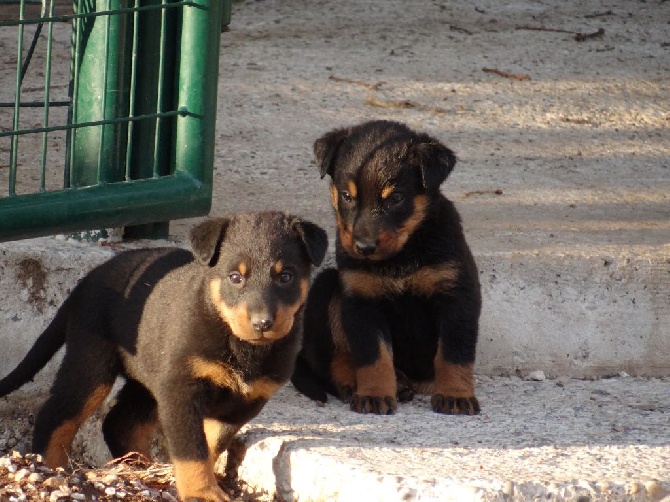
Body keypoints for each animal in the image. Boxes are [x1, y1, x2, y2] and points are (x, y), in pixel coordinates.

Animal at [0, 213, 328, 502]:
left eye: (286, 276)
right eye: (235, 277)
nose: (263, 323)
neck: (239, 344)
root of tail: (88, 279)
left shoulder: (244, 402)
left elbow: (210, 444)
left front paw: (186, 481)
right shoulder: (181, 388)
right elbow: (192, 449)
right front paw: (201, 492)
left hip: (149, 376)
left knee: (120, 422)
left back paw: (143, 467)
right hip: (92, 364)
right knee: (56, 415)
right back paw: (51, 466)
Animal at [294, 120, 484, 416]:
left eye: (395, 198)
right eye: (347, 196)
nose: (364, 247)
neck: (401, 257)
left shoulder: (457, 294)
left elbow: (454, 351)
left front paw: (456, 395)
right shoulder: (361, 299)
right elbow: (373, 355)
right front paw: (374, 395)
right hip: (326, 286)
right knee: (331, 360)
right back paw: (363, 384)